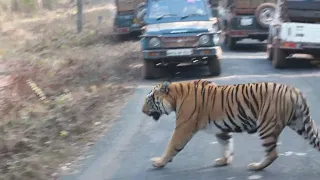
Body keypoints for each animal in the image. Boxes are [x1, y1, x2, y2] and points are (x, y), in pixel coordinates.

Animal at [142, 79, 320, 171]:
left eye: (149, 100)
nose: (142, 111)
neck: (175, 97)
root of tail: (295, 91)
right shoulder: (221, 129)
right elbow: (226, 144)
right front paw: (224, 161)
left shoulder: (183, 128)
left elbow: (171, 145)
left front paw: (159, 162)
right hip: (301, 124)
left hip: (267, 126)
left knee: (273, 153)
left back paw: (256, 166)